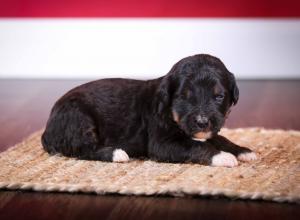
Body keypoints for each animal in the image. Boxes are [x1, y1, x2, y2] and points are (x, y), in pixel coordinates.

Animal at [42, 54, 256, 167]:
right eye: (184, 96)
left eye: (219, 96)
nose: (202, 122)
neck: (169, 111)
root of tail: (47, 129)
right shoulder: (162, 143)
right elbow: (196, 146)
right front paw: (222, 156)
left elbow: (220, 138)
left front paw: (243, 150)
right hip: (79, 117)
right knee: (82, 148)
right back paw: (116, 154)